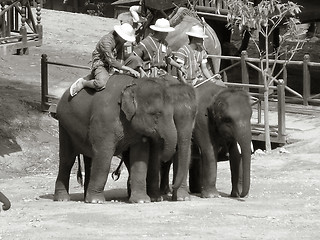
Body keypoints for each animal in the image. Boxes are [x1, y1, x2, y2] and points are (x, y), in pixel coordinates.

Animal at [53, 74, 196, 203]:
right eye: (156, 114)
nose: (171, 188)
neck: (134, 85)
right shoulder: (105, 120)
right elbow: (104, 154)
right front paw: (96, 201)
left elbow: (140, 157)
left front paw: (142, 200)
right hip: (64, 126)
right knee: (67, 159)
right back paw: (63, 199)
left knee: (89, 158)